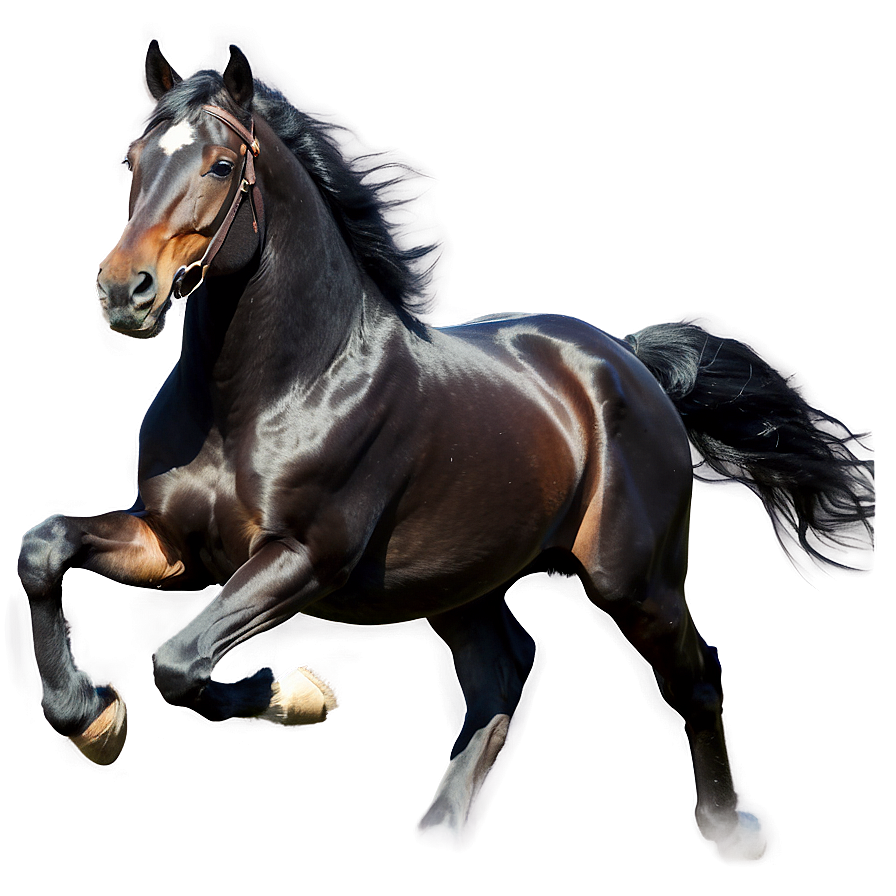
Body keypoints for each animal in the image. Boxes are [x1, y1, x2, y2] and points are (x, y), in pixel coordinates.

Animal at [18, 41, 873, 862]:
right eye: (134, 158)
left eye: (223, 165)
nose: (124, 290)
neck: (265, 397)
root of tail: (630, 363)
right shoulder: (178, 548)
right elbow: (43, 551)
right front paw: (89, 718)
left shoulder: (303, 558)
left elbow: (178, 661)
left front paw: (302, 693)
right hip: (462, 587)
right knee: (502, 678)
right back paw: (439, 837)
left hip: (635, 582)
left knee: (696, 682)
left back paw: (732, 837)